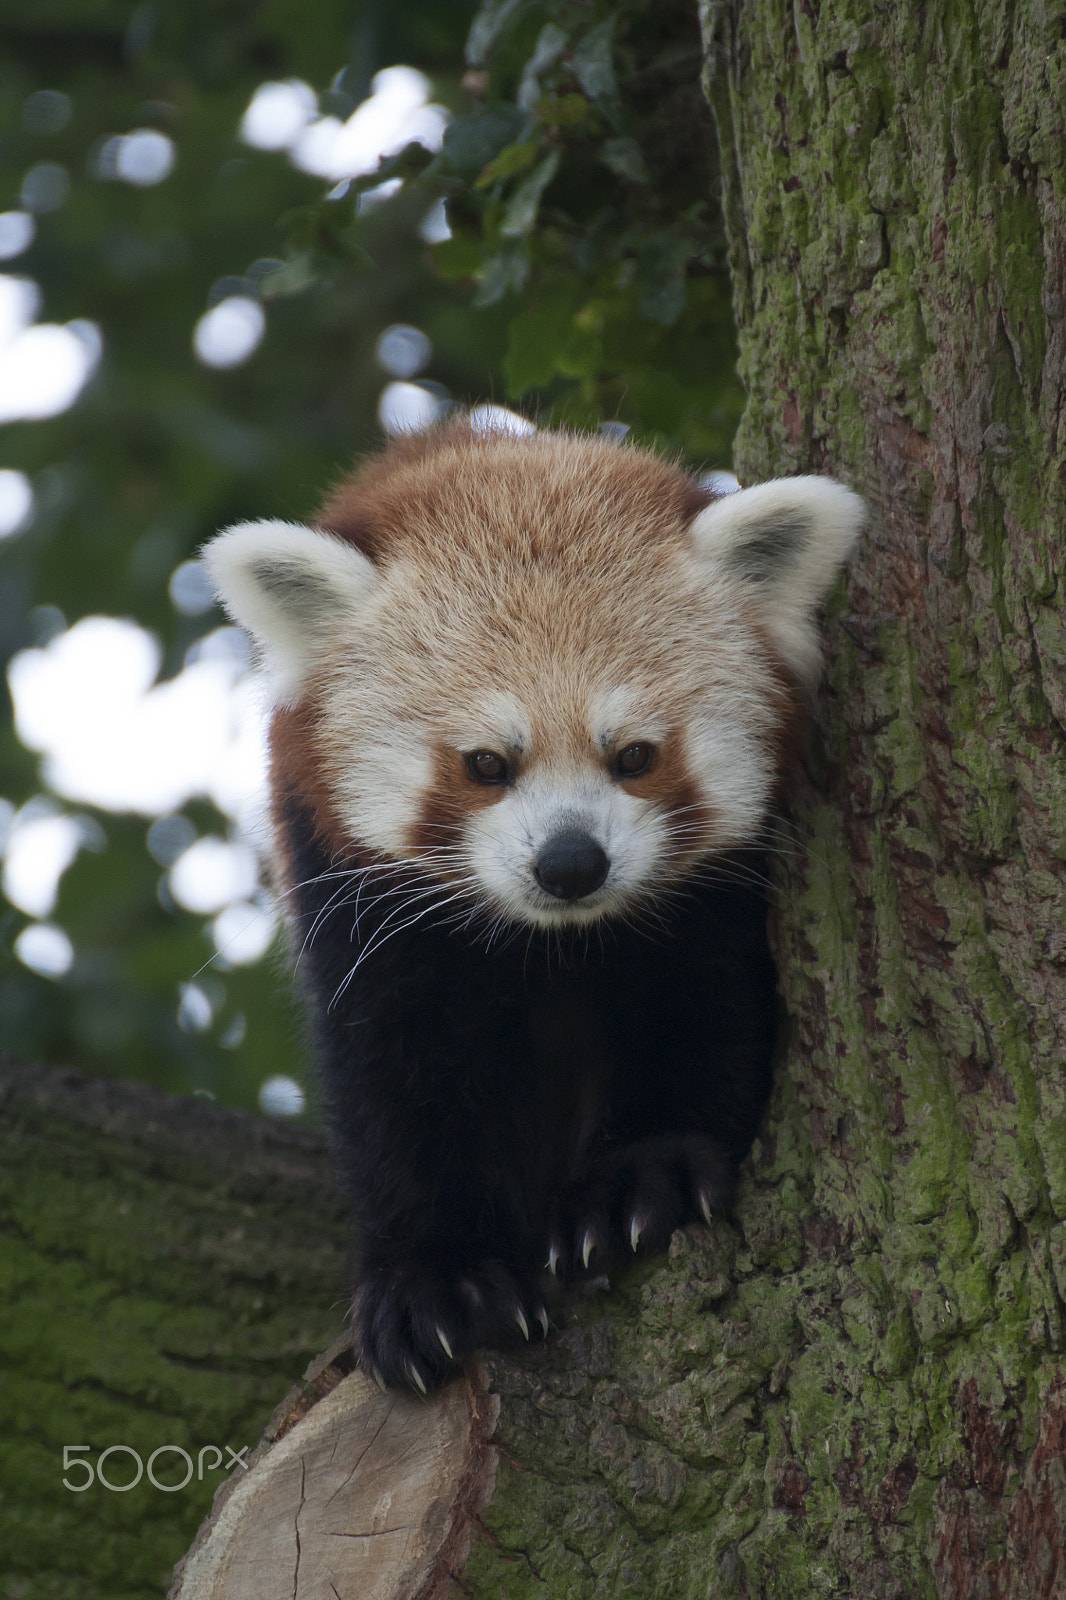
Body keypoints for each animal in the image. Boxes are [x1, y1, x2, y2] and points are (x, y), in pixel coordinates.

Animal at [203, 419, 862, 1393]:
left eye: (635, 756)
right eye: (485, 764)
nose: (570, 864)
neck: (557, 942)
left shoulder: (716, 902)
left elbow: (701, 1012)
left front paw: (639, 1179)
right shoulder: (353, 896)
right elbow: (399, 1078)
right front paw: (439, 1280)